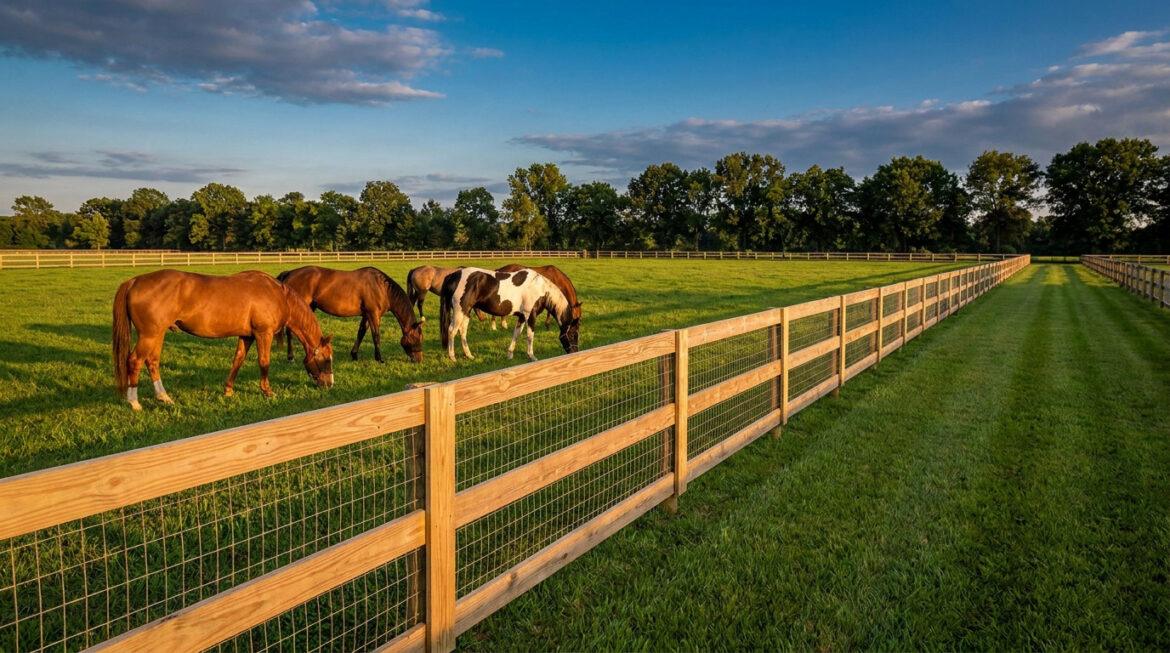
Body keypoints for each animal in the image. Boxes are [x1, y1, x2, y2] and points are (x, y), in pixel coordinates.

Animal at [112, 270, 334, 411]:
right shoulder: (264, 334)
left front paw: (228, 390)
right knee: (135, 361)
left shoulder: (247, 336)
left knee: (152, 361)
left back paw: (164, 397)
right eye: (327, 359)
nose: (330, 384)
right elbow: (264, 362)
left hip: (158, 334)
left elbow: (237, 360)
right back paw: (135, 403)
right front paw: (268, 392)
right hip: (149, 335)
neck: (278, 295)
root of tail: (134, 281)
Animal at [277, 266, 423, 363]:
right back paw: (291, 357)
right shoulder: (373, 314)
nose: (419, 360)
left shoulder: (366, 315)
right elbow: (376, 336)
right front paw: (379, 358)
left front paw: (354, 354)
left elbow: (361, 332)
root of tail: (290, 273)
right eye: (417, 338)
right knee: (290, 332)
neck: (381, 288)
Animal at [439, 267, 581, 362]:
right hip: (459, 311)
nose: (575, 352)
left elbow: (516, 334)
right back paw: (452, 357)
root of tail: (454, 275)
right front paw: (531, 356)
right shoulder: (531, 316)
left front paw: (510, 354)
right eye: (572, 334)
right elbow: (530, 336)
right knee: (452, 330)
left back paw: (469, 355)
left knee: (462, 331)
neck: (540, 289)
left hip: (466, 312)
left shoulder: (522, 316)